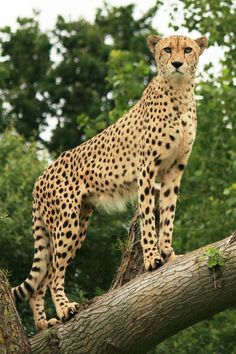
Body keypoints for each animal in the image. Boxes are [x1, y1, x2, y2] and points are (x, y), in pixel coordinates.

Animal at [12, 34, 207, 330]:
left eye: (187, 49)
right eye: (166, 49)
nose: (176, 63)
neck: (179, 93)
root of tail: (39, 179)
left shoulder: (175, 170)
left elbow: (168, 214)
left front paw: (168, 252)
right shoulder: (146, 170)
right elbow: (148, 217)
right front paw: (152, 258)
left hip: (78, 223)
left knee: (41, 279)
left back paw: (45, 324)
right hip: (66, 223)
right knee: (54, 272)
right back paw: (65, 309)